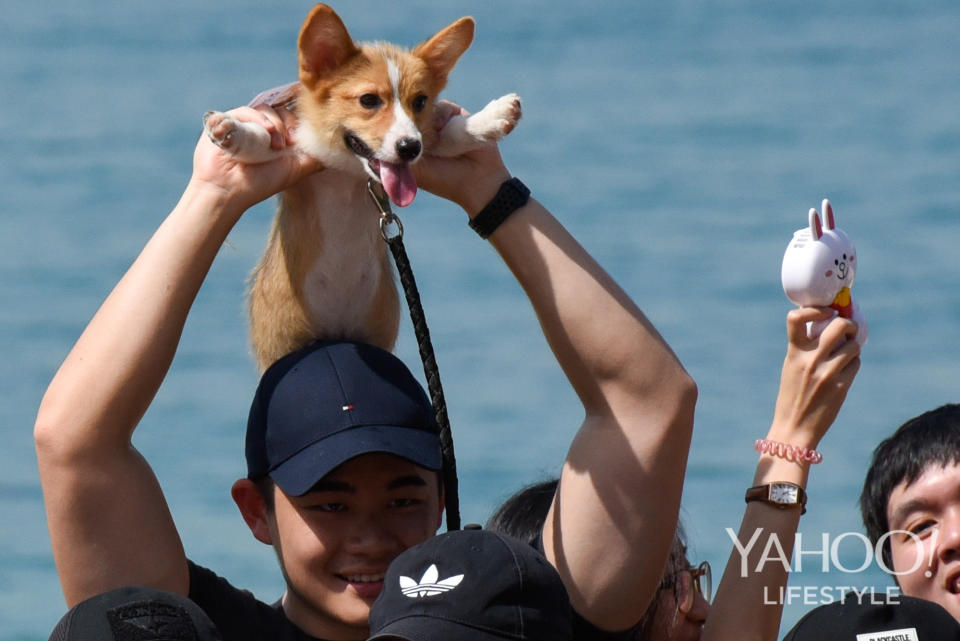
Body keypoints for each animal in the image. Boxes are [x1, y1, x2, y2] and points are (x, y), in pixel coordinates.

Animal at [199, 3, 520, 370]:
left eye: (420, 101)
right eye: (369, 100)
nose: (410, 148)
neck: (346, 171)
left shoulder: (427, 139)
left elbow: (451, 133)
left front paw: (489, 119)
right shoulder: (298, 151)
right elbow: (266, 141)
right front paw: (233, 131)